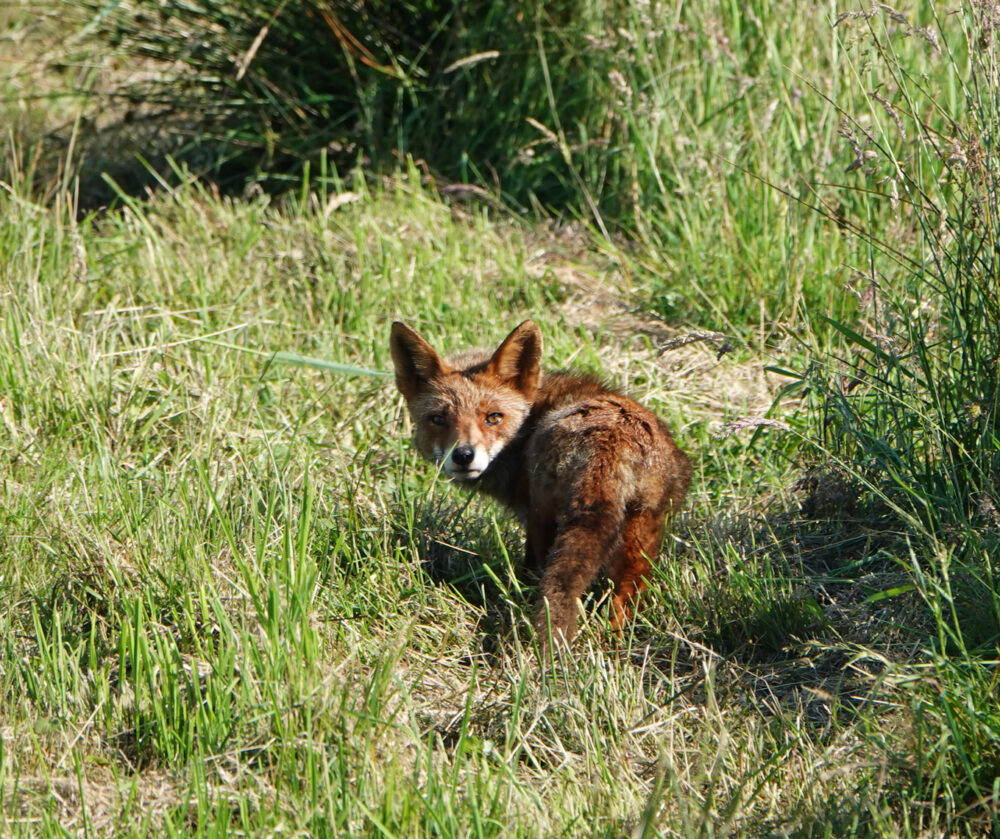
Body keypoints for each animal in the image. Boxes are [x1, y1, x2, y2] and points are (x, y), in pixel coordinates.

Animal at [392, 318, 696, 652]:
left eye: (493, 417)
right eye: (438, 419)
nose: (463, 456)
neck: (529, 422)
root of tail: (611, 441)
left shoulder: (531, 516)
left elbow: (529, 568)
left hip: (548, 517)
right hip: (641, 539)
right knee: (625, 597)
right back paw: (616, 645)